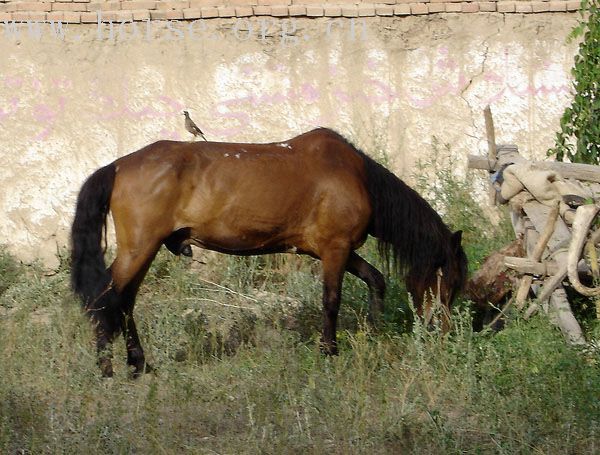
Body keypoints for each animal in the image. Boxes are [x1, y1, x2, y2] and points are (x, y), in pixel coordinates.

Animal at [69, 127, 464, 378]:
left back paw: (139, 364)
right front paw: (329, 350)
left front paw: (374, 328)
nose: (444, 333)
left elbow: (376, 280)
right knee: (107, 298)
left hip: (143, 251)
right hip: (139, 248)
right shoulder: (335, 249)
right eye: (450, 281)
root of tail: (118, 166)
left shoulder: (333, 250)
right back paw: (108, 368)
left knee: (125, 302)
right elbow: (331, 301)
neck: (356, 176)